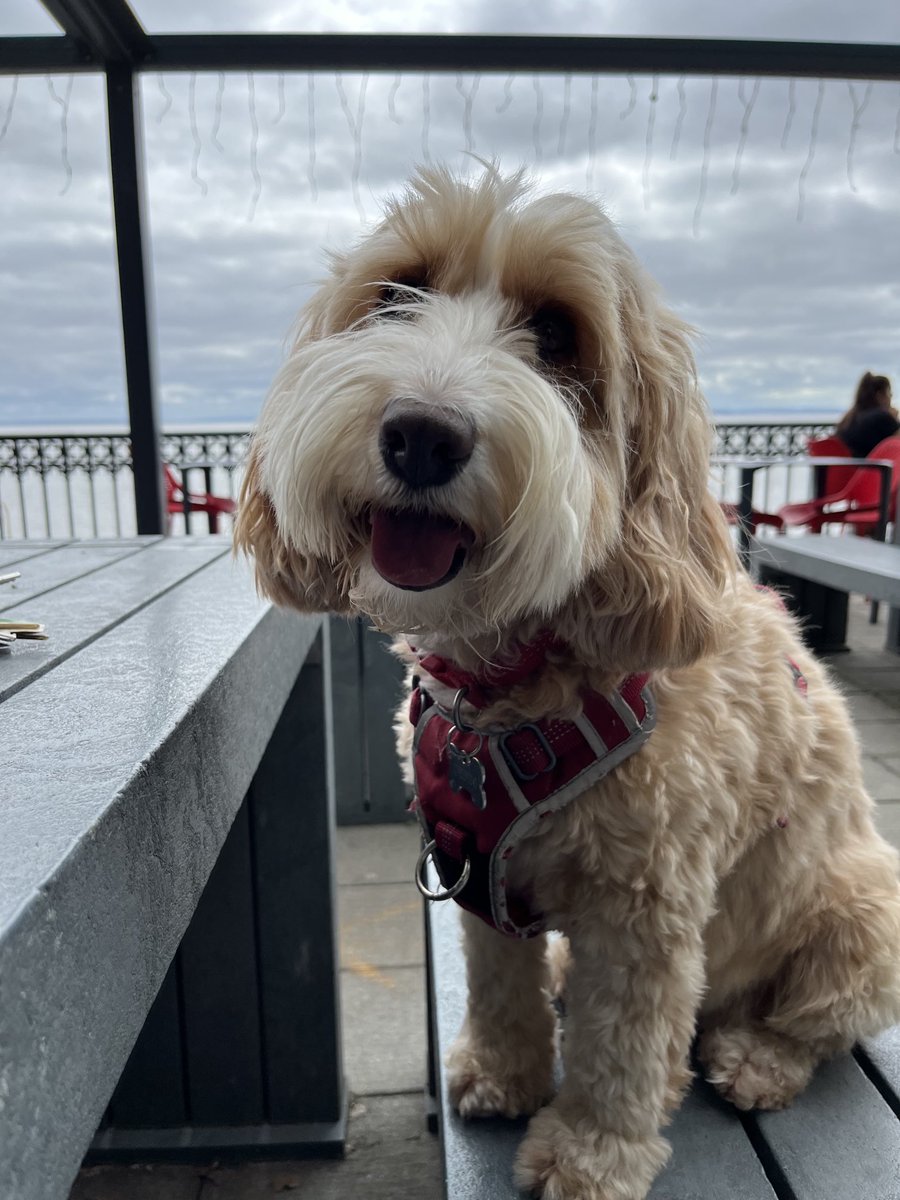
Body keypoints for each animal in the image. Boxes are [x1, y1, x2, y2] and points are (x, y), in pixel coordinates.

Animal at [236, 166, 900, 1200]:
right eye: (396, 293)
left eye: (555, 334)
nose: (422, 435)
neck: (511, 680)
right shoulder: (472, 868)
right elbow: (496, 979)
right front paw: (504, 1074)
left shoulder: (647, 905)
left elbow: (621, 1044)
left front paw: (589, 1152)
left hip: (863, 915)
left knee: (810, 1022)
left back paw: (756, 1057)